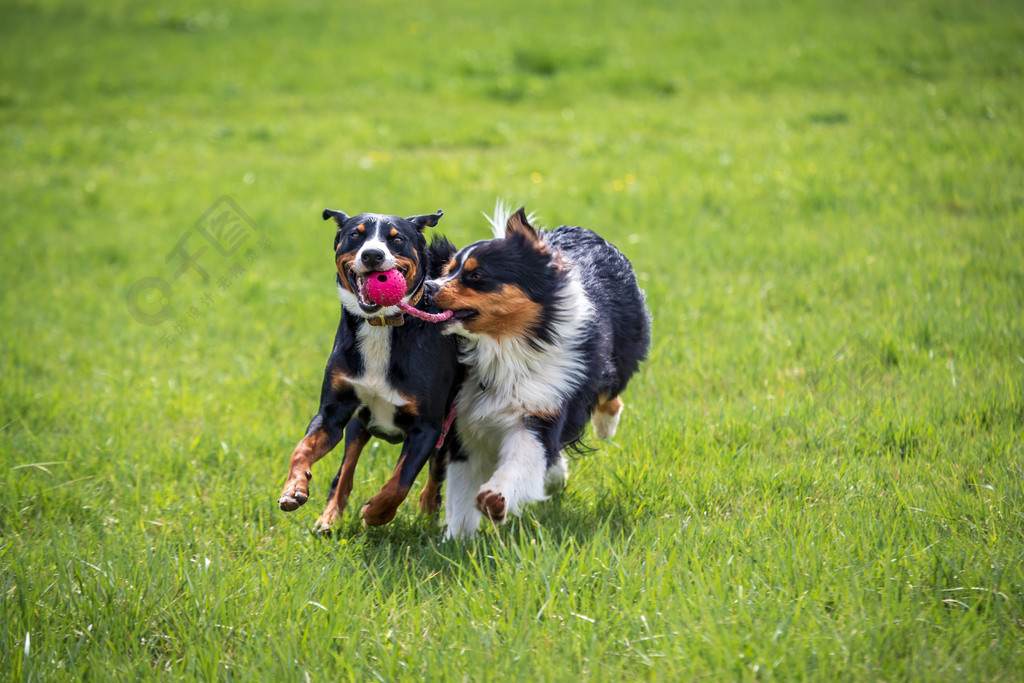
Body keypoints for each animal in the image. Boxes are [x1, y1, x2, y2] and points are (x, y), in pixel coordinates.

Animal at [276, 206, 460, 528]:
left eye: (397, 239)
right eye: (355, 235)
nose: (372, 255)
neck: (381, 326)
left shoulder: (427, 428)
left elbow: (400, 482)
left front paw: (375, 513)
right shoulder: (334, 412)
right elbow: (302, 450)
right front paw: (294, 488)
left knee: (436, 474)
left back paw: (428, 513)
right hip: (357, 424)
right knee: (344, 472)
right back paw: (328, 518)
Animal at [428, 205, 651, 536]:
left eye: (477, 275)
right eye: (446, 272)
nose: (428, 288)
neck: (504, 348)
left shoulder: (540, 410)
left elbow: (521, 461)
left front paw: (496, 498)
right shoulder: (464, 424)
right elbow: (462, 489)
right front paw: (458, 539)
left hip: (624, 349)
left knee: (611, 393)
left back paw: (605, 427)